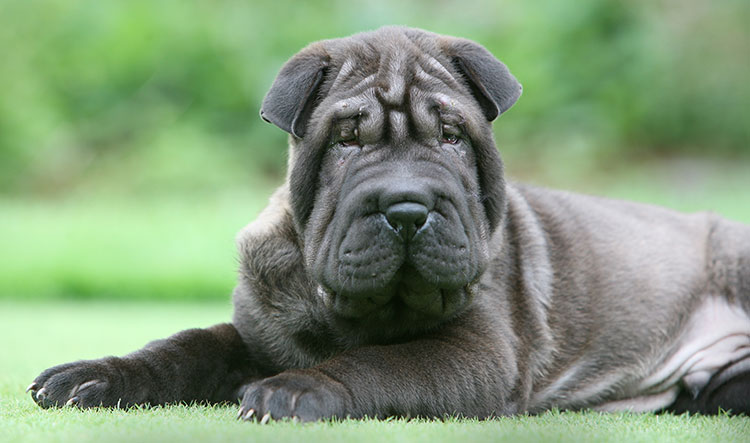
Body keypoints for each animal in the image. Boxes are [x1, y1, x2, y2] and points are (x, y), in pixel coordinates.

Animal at [29, 26, 750, 422]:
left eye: (452, 138)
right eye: (347, 141)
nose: (407, 207)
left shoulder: (476, 351)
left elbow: (382, 363)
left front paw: (299, 388)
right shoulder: (256, 331)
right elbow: (185, 346)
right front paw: (96, 373)